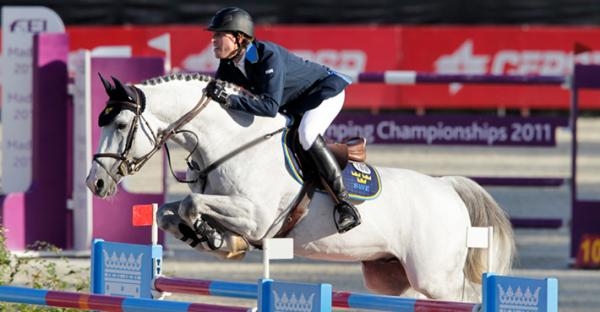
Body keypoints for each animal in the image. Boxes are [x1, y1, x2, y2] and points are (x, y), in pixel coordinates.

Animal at [85, 73, 516, 302]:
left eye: (120, 125)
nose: (96, 182)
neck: (230, 141)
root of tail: (448, 189)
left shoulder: (256, 216)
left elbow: (192, 202)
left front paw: (216, 238)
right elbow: (167, 211)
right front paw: (212, 238)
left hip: (435, 277)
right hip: (392, 277)